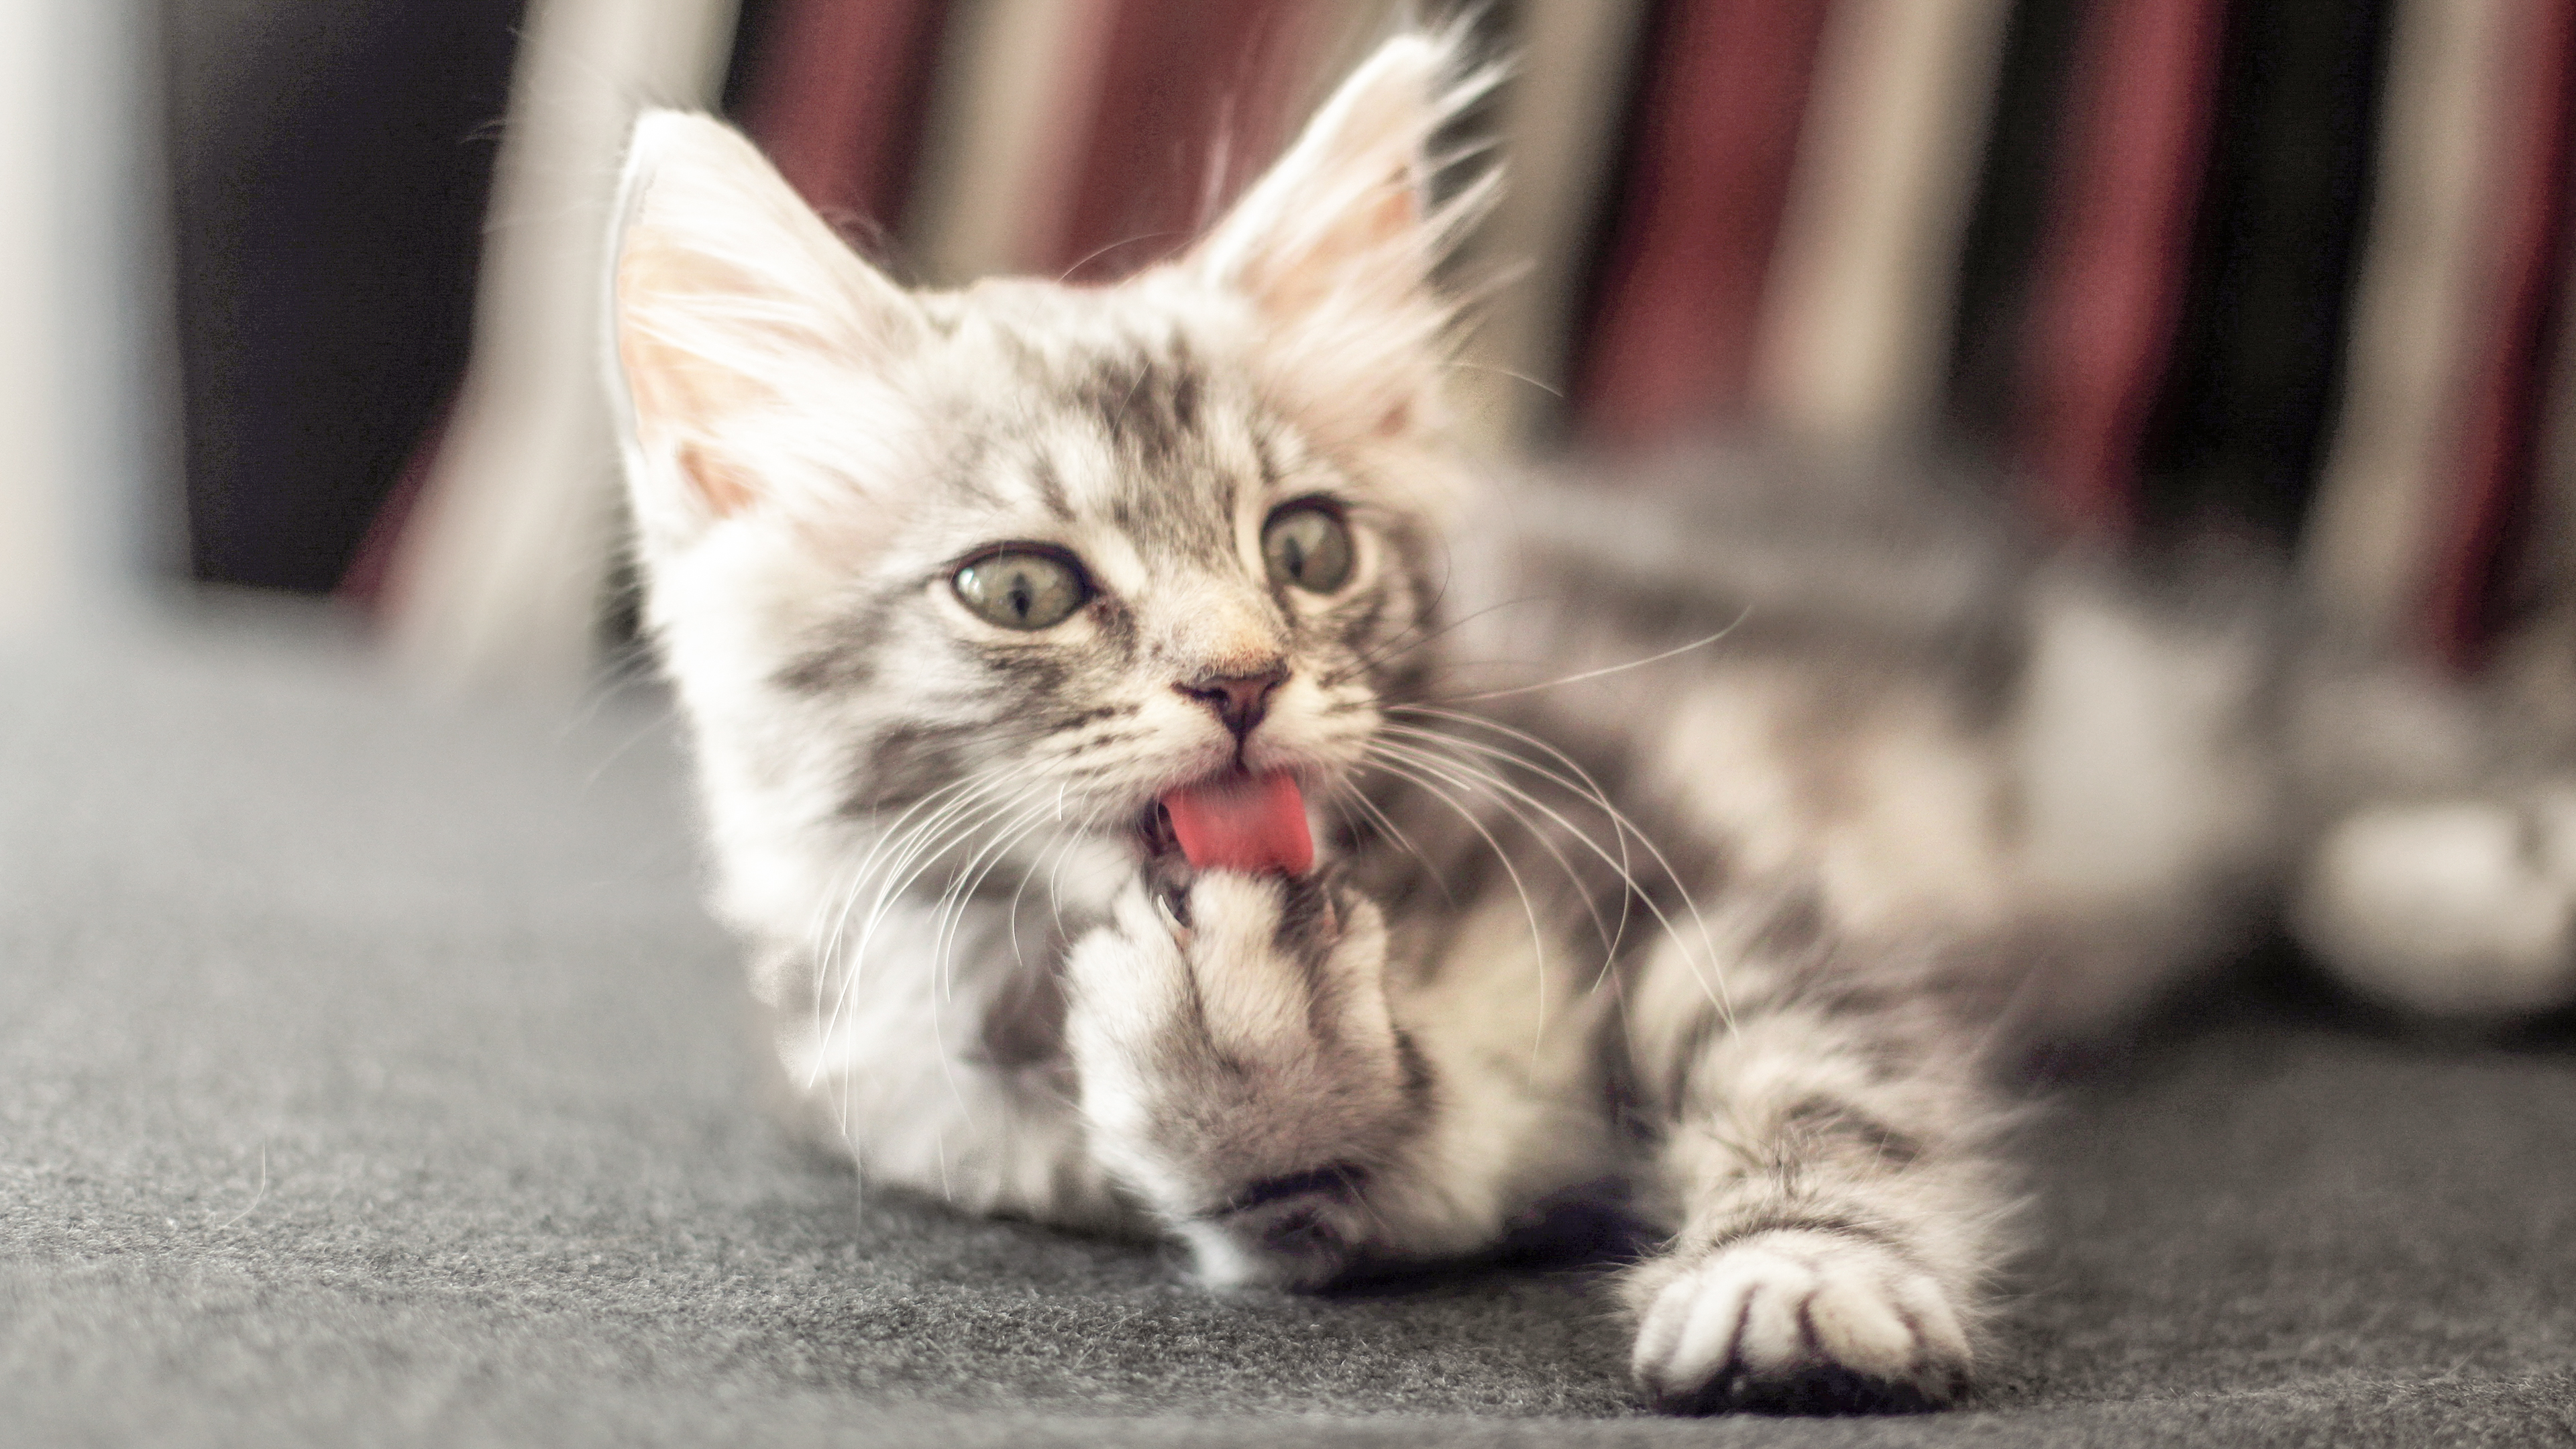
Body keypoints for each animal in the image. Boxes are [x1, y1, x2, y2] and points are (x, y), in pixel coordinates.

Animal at [602, 31, 2277, 1413]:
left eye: (1306, 549)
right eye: (1020, 587)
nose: (1242, 680)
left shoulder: (1708, 880)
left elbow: (1828, 1086)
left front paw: (1801, 1271)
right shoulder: (949, 1112)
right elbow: (1335, 1192)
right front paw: (1252, 1056)